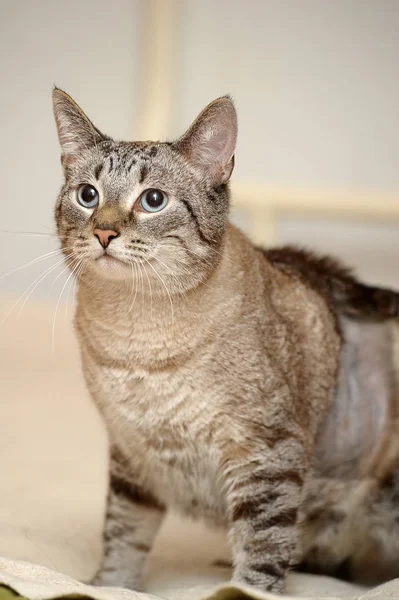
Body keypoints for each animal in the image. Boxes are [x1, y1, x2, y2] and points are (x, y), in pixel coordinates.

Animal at [51, 86, 399, 592]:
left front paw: (241, 591)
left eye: (152, 200)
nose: (103, 232)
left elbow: (259, 555)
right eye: (87, 195)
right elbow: (122, 540)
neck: (137, 342)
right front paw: (104, 587)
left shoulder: (263, 454)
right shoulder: (132, 461)